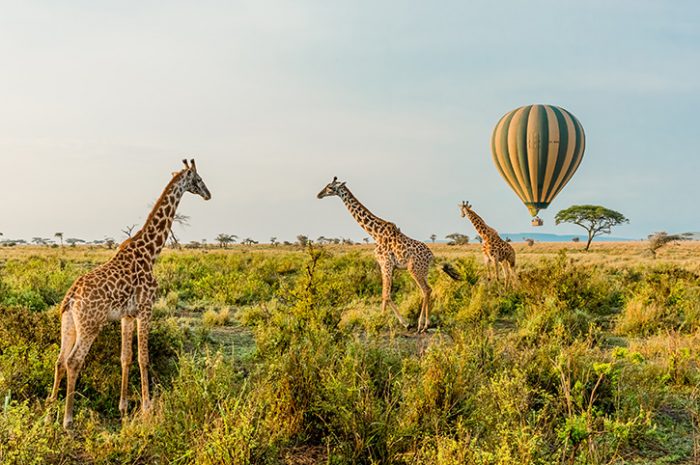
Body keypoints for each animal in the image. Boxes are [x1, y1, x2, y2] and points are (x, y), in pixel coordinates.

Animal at [48, 159, 211, 428]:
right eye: (198, 179)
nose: (209, 194)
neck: (151, 252)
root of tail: (70, 298)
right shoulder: (146, 308)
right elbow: (144, 358)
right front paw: (147, 407)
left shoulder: (127, 315)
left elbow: (126, 357)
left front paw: (123, 407)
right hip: (90, 325)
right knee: (73, 361)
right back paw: (68, 420)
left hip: (68, 322)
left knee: (60, 359)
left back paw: (51, 405)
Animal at [317, 177, 433, 332]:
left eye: (330, 187)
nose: (319, 194)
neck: (375, 233)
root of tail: (431, 256)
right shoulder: (385, 266)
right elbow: (384, 294)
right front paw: (381, 317)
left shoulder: (386, 264)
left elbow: (386, 295)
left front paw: (403, 322)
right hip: (423, 271)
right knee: (429, 289)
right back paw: (427, 324)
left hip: (414, 269)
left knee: (425, 290)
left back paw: (421, 325)